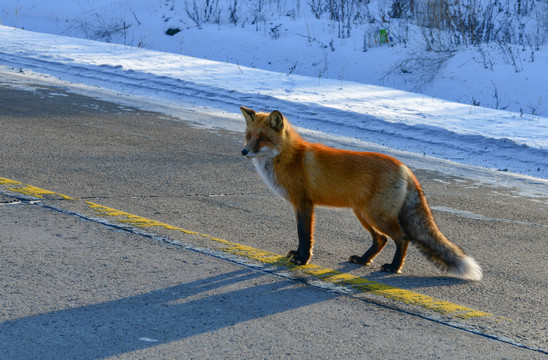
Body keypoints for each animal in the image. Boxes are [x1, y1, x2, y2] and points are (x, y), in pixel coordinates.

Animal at [242, 105, 482, 280]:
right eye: (249, 136)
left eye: (262, 138)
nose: (244, 151)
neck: (289, 157)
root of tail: (405, 167)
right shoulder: (299, 205)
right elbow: (302, 235)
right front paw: (298, 256)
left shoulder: (304, 203)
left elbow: (305, 235)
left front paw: (303, 260)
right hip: (363, 214)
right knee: (381, 240)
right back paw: (363, 260)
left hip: (376, 216)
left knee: (402, 238)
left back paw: (393, 267)